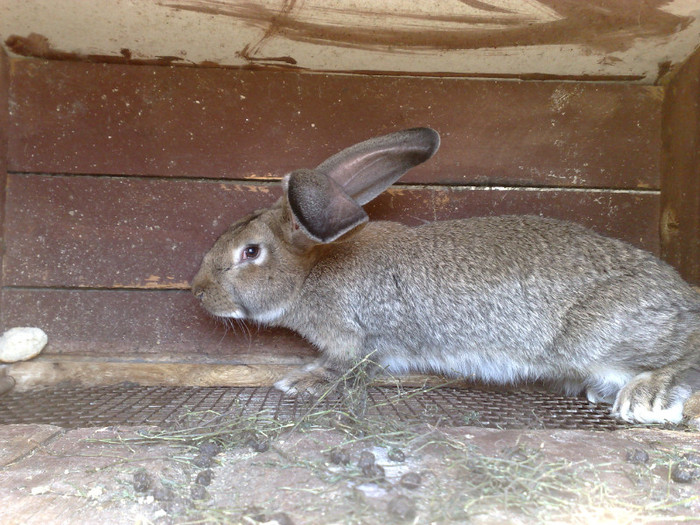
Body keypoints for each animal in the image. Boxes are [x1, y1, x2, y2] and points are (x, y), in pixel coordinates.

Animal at [191, 128, 700, 426]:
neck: (311, 271)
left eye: (250, 251)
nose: (198, 293)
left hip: (603, 334)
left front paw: (300, 381)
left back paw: (643, 398)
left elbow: (345, 367)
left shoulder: (356, 338)